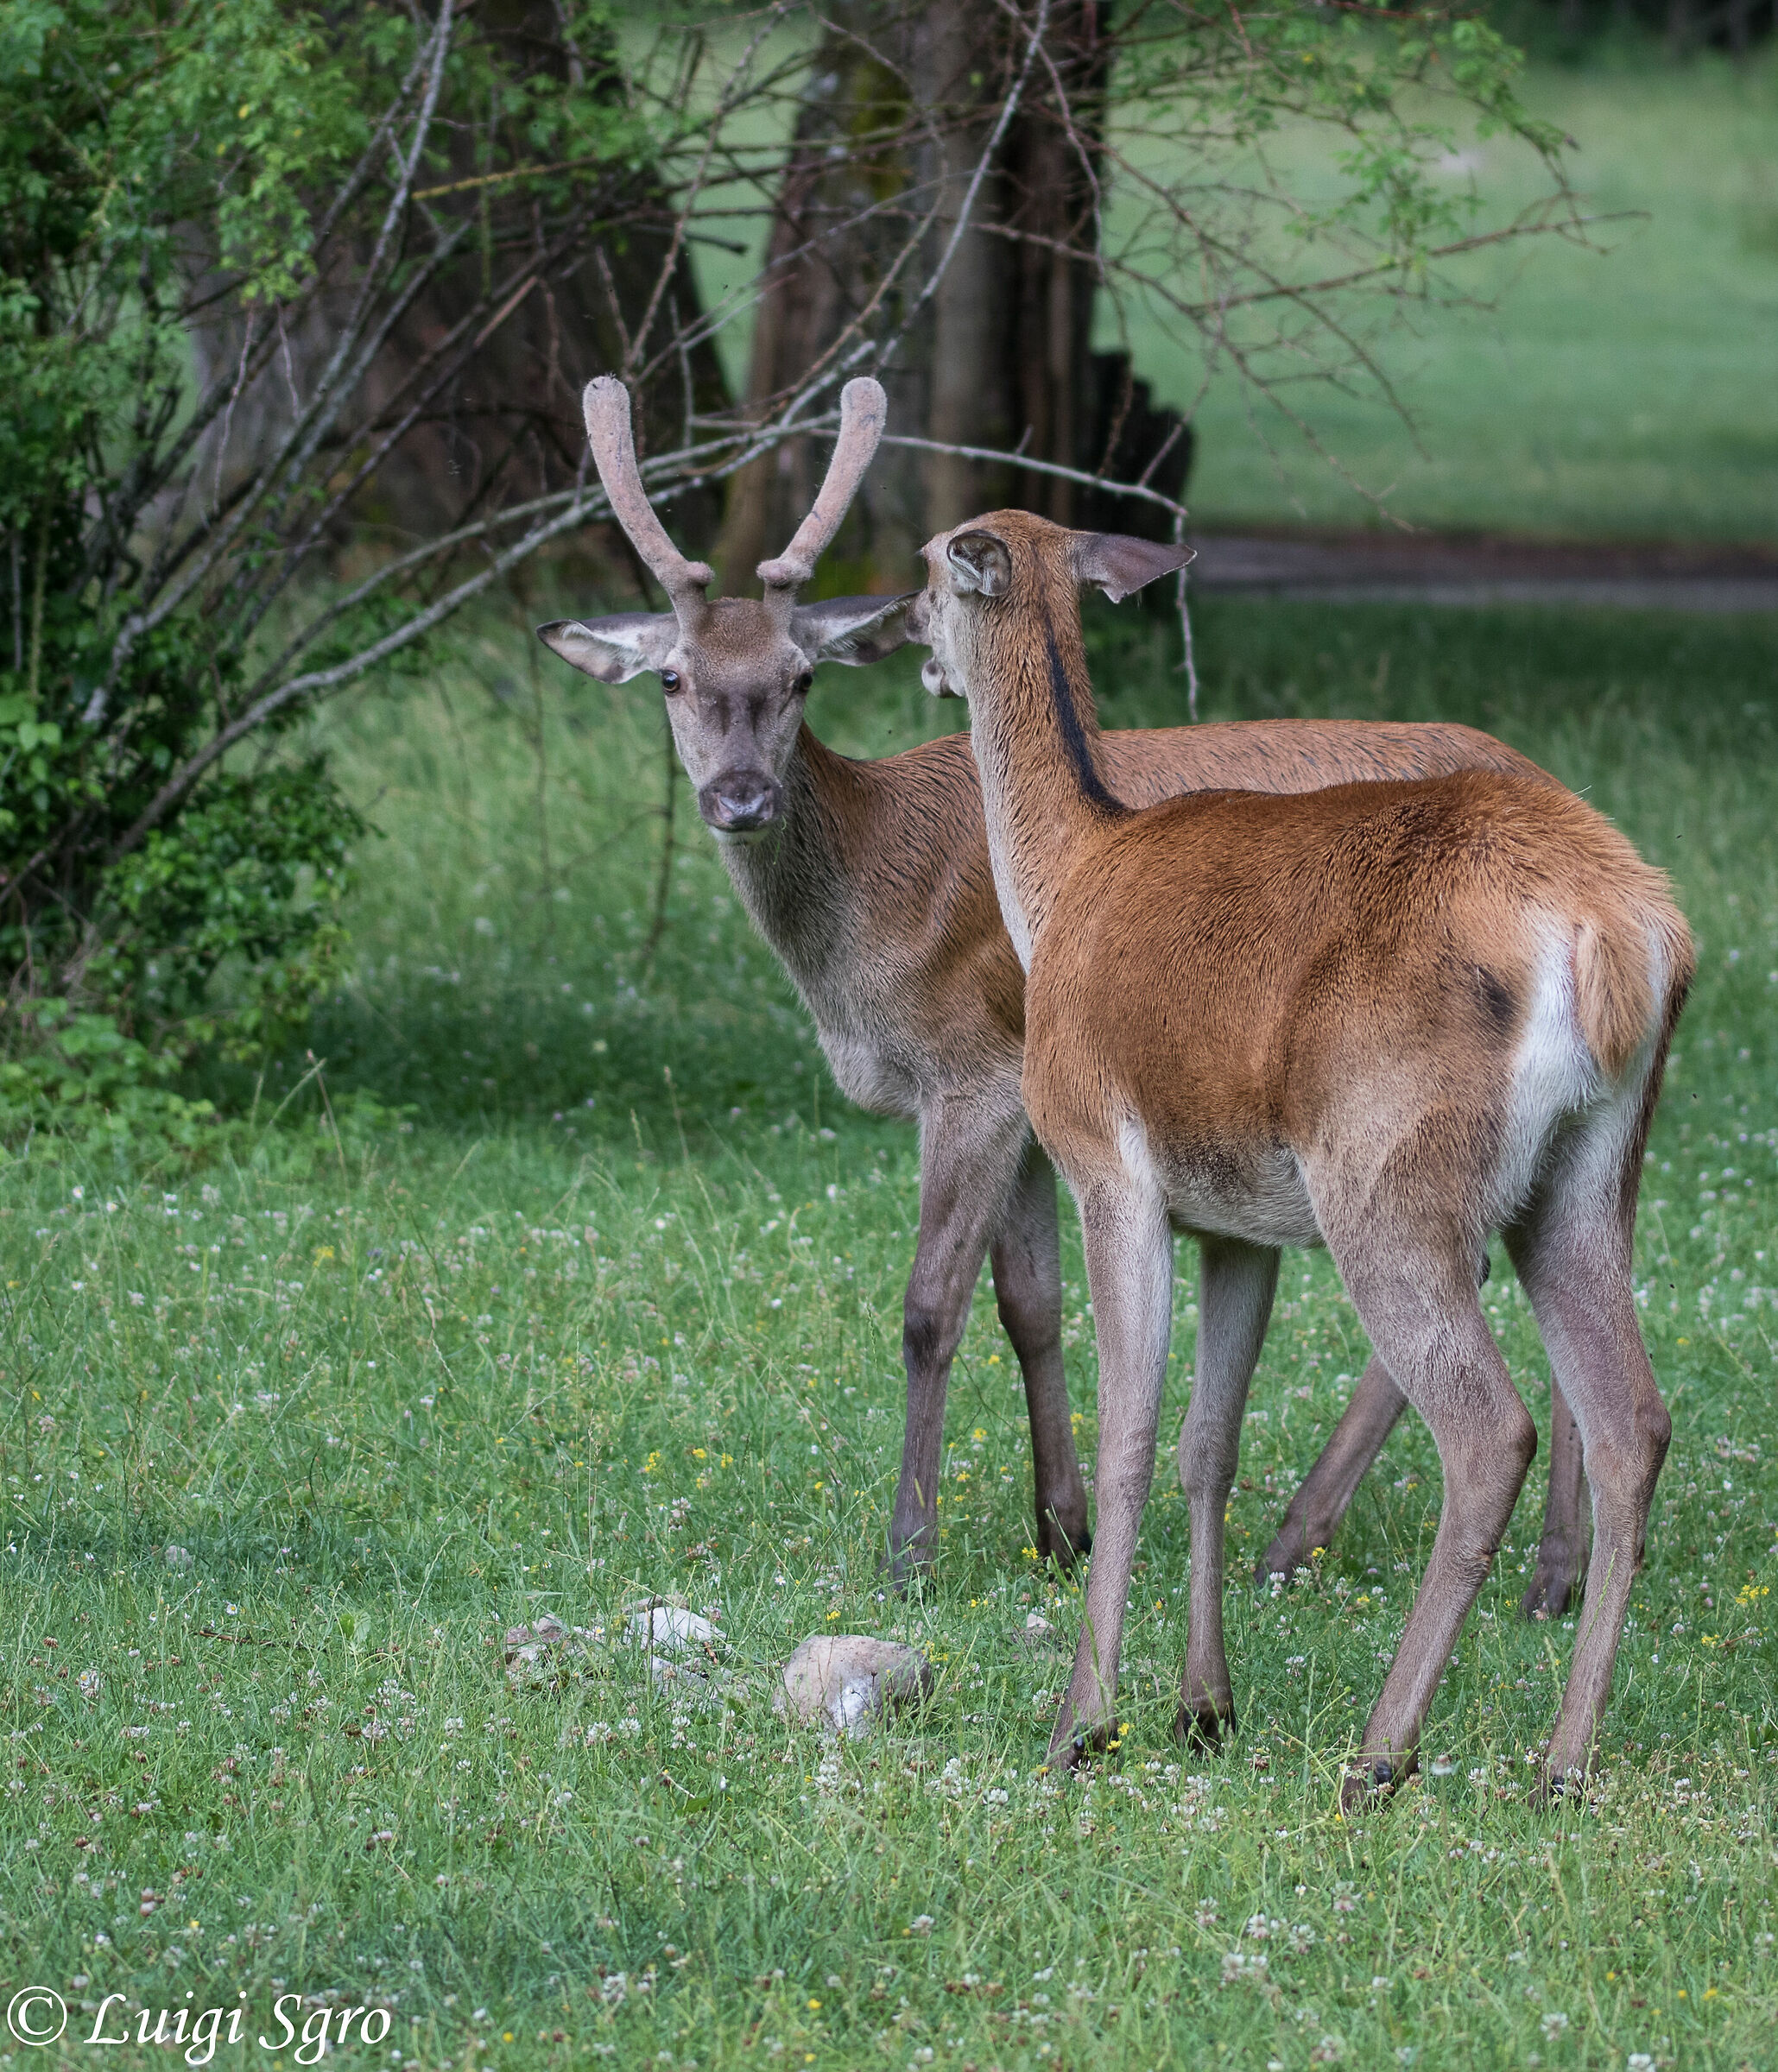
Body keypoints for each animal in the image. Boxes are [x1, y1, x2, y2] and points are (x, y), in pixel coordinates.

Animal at [537, 373, 1593, 1621]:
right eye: (672, 678)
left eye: (798, 679)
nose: (741, 798)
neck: (862, 951)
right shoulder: (1027, 1100)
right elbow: (1028, 1307)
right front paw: (1060, 1528)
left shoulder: (975, 1069)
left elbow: (930, 1306)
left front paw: (910, 1549)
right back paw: (1508, 1564)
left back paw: (1388, 1549)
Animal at [907, 506, 1691, 1800]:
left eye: (926, 573)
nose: (898, 633)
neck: (1061, 882)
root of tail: (1620, 938)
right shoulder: (1238, 1227)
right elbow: (1205, 1448)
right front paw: (1201, 1709)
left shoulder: (1103, 1160)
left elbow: (1130, 1440)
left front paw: (1082, 1721)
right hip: (1585, 1179)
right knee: (1631, 1419)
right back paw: (1561, 1763)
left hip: (1385, 1179)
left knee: (1492, 1430)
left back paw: (1382, 1751)